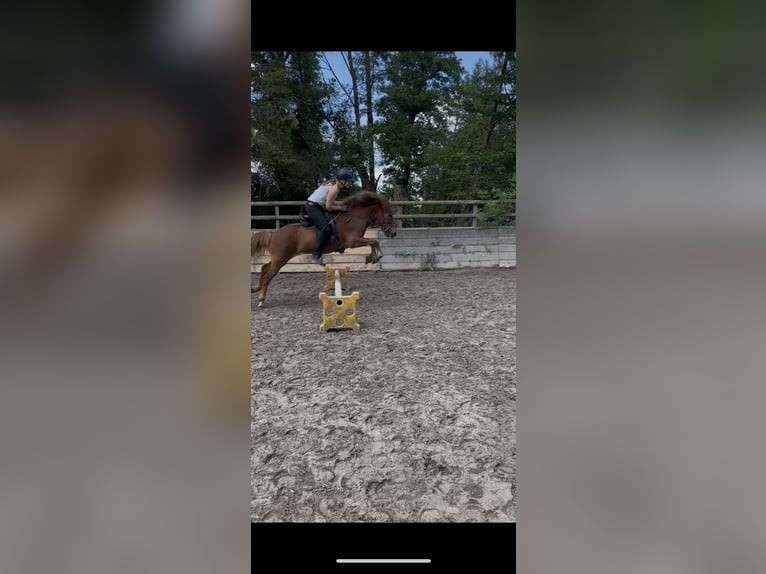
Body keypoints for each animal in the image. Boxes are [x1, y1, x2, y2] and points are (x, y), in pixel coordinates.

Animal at [251, 190, 397, 307]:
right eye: (390, 215)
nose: (394, 233)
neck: (355, 218)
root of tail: (273, 233)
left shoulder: (356, 241)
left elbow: (373, 242)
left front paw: (372, 257)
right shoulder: (353, 241)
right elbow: (374, 241)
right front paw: (376, 256)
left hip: (277, 259)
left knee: (264, 268)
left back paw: (255, 288)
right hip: (280, 259)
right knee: (268, 275)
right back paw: (261, 300)